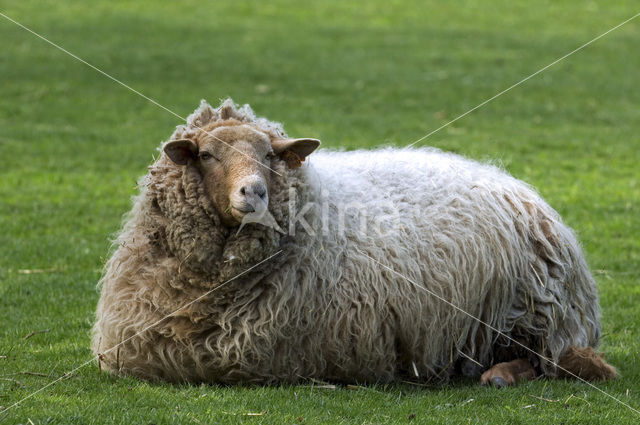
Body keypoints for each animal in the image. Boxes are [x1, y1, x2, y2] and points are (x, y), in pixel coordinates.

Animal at [90, 98, 616, 384]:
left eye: (269, 155)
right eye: (205, 154)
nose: (254, 192)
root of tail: (523, 190)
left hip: (535, 312)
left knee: (551, 362)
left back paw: (499, 376)